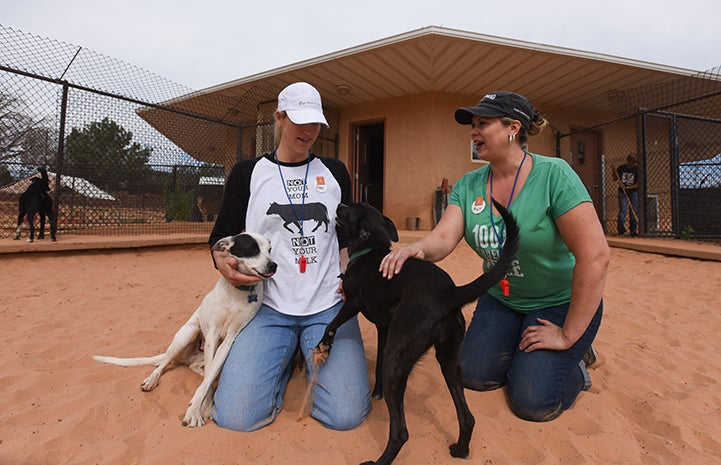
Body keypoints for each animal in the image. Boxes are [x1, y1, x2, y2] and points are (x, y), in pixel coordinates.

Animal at [92, 232, 276, 428]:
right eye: (252, 249)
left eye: (269, 250)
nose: (274, 265)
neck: (237, 292)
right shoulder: (212, 335)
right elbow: (208, 378)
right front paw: (198, 410)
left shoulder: (229, 339)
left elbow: (210, 376)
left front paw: (201, 406)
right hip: (188, 334)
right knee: (164, 363)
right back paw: (152, 379)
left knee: (198, 368)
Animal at [312, 199, 516, 464]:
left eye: (350, 209)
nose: (339, 204)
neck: (370, 250)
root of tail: (449, 294)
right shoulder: (384, 329)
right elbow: (377, 365)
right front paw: (376, 392)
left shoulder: (352, 304)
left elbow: (331, 325)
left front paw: (323, 347)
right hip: (448, 361)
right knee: (467, 417)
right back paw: (460, 450)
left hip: (398, 358)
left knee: (401, 432)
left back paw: (379, 461)